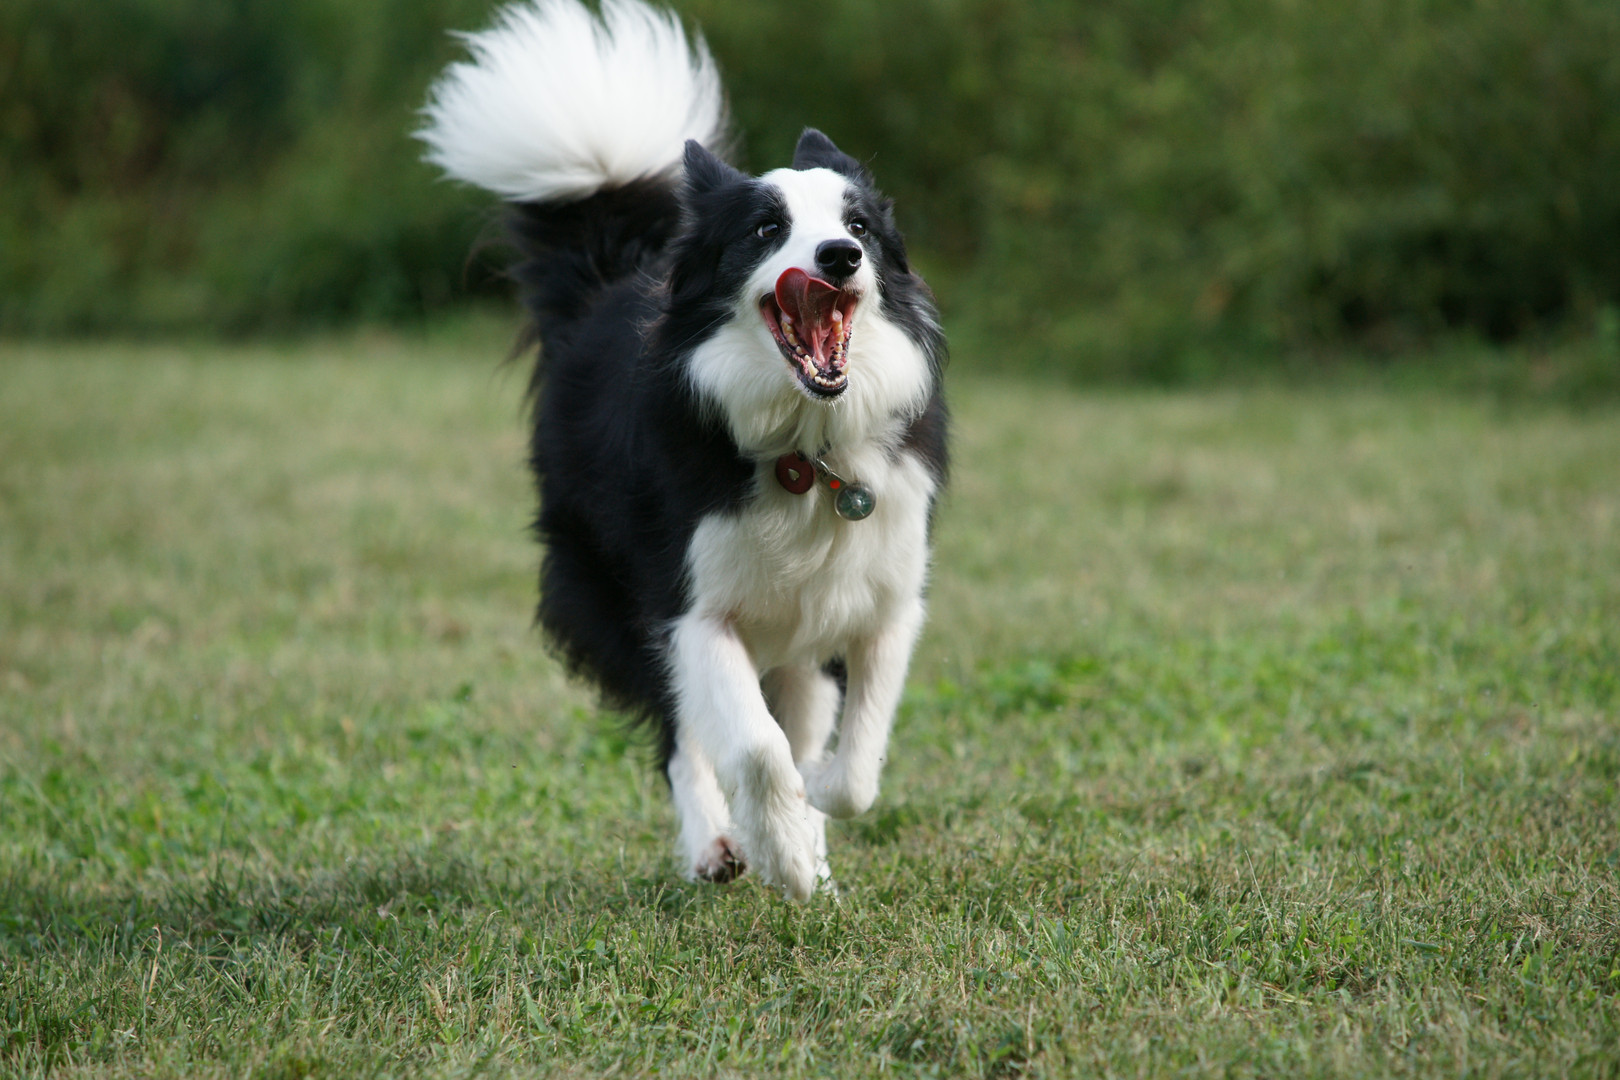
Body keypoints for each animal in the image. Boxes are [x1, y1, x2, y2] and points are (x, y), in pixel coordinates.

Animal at [419, 0, 947, 900]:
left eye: (859, 227)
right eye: (767, 229)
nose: (840, 257)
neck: (804, 449)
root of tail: (604, 280)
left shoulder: (881, 597)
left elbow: (853, 765)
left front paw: (811, 823)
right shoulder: (687, 603)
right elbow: (755, 747)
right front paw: (783, 850)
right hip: (612, 591)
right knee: (682, 737)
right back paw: (718, 847)